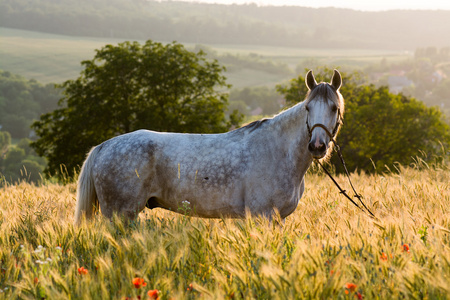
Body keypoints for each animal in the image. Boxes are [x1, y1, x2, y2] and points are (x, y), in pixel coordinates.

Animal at [74, 70, 344, 223]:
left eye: (334, 108)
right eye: (308, 108)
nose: (317, 146)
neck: (278, 151)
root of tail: (103, 147)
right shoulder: (263, 217)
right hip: (121, 215)